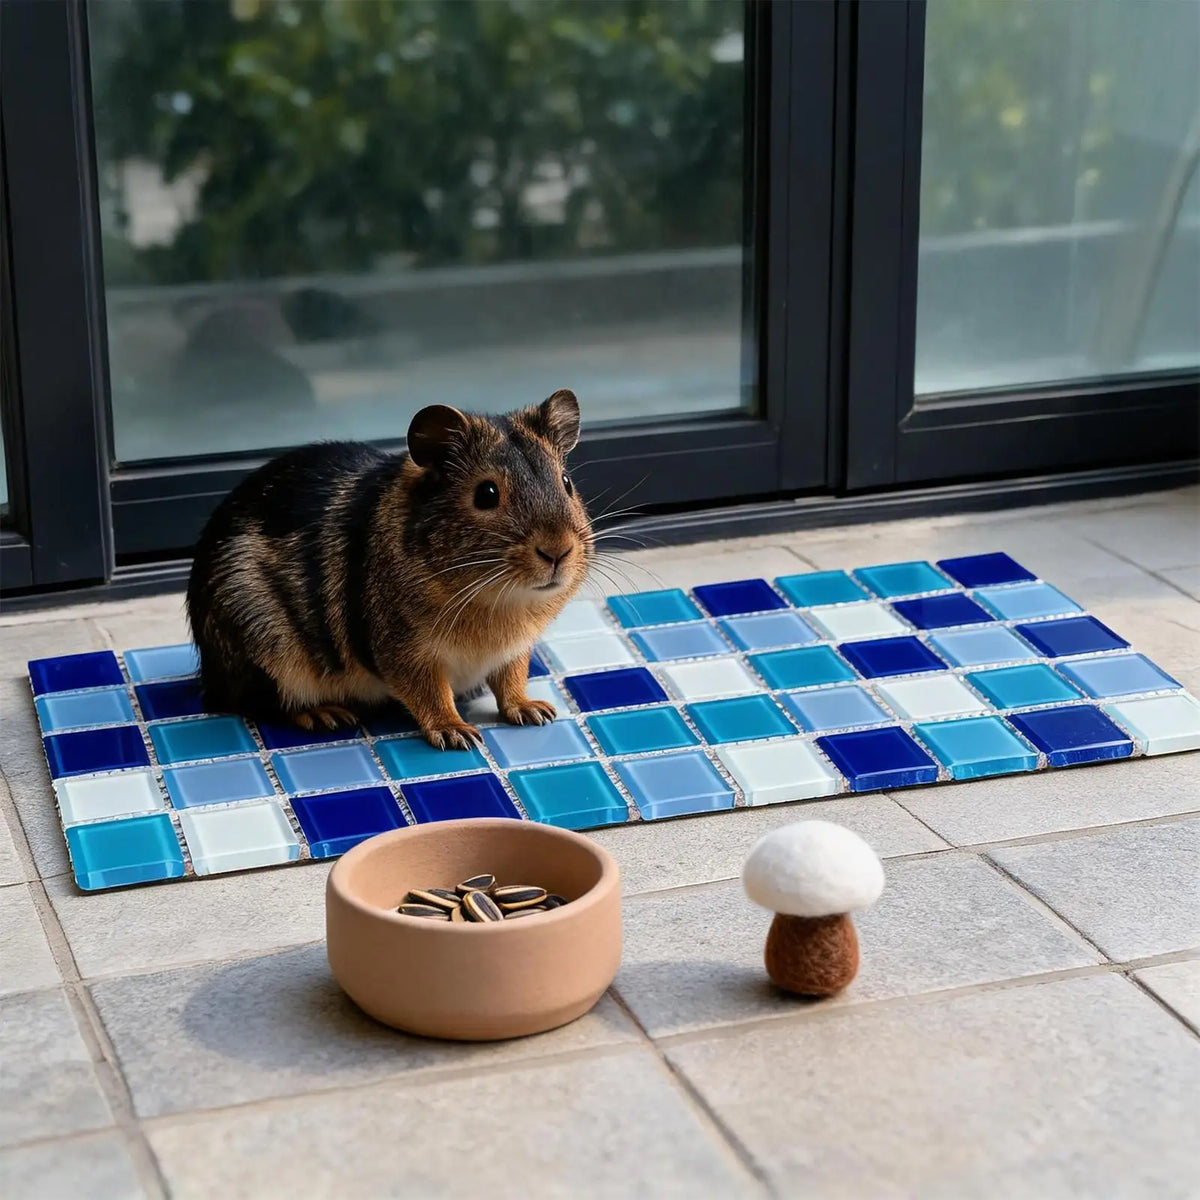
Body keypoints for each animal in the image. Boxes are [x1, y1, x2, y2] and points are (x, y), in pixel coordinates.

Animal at [186, 389, 591, 749]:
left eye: (567, 482)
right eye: (486, 494)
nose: (558, 550)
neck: (501, 605)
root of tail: (210, 675)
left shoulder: (515, 651)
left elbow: (511, 680)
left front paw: (536, 711)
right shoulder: (404, 653)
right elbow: (430, 694)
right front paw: (458, 734)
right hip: (269, 658)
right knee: (264, 703)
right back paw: (327, 714)